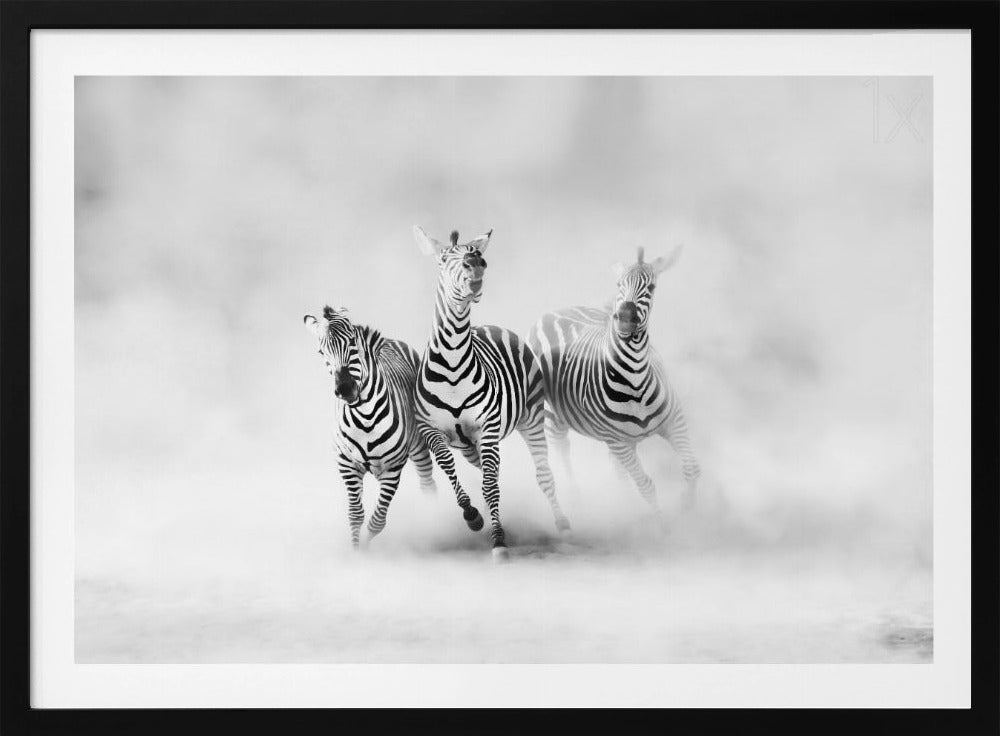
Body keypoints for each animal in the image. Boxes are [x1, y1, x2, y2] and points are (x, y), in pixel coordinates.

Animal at [303, 306, 436, 549]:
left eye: (352, 343)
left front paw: (365, 548)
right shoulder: (346, 464)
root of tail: (391, 340)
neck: (365, 417)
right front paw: (357, 551)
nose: (345, 389)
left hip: (418, 446)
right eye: (321, 352)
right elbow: (355, 515)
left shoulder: (393, 467)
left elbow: (377, 521)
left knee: (428, 484)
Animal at [412, 226, 570, 561]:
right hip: (470, 445)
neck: (453, 363)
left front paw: (499, 540)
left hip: (530, 419)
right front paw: (473, 516)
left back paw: (562, 524)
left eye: (477, 254)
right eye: (443, 259)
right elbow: (450, 470)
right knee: (488, 472)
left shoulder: (486, 428)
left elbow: (489, 486)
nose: (476, 264)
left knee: (543, 474)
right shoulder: (432, 431)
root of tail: (493, 326)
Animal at [527, 246, 700, 516]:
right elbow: (646, 485)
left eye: (651, 287)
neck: (636, 377)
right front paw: (663, 523)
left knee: (617, 469)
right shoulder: (618, 442)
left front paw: (688, 507)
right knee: (562, 449)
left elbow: (691, 467)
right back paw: (576, 497)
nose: (625, 317)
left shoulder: (674, 421)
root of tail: (555, 311)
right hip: (554, 416)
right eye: (619, 284)